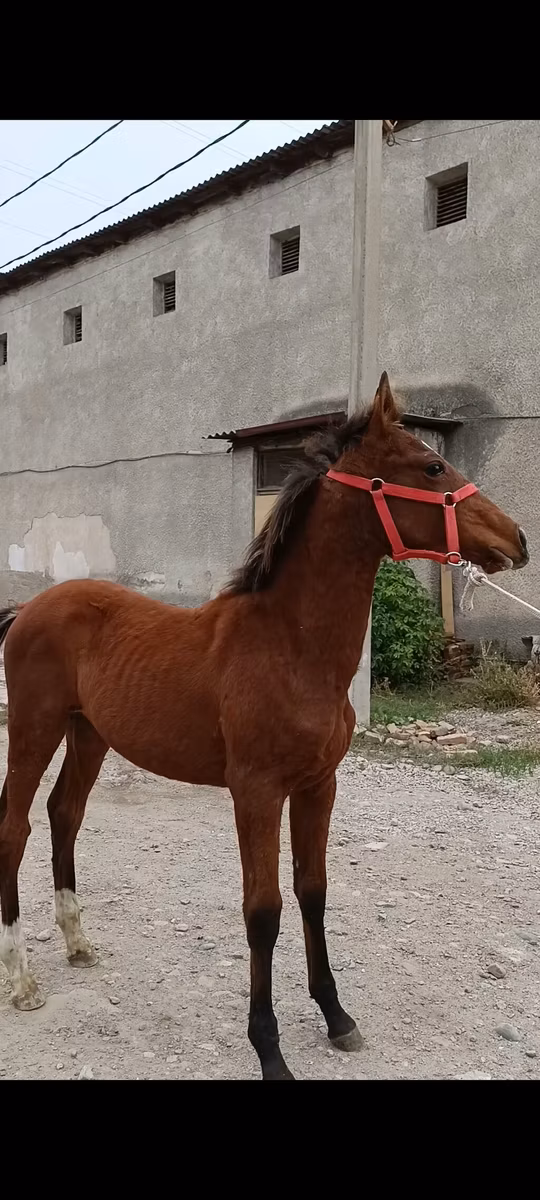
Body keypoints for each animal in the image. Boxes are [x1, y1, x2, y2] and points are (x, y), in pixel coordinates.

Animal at [0, 373, 528, 1080]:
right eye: (432, 467)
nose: (517, 539)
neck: (289, 647)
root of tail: (30, 607)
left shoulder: (318, 786)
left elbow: (313, 892)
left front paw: (337, 1017)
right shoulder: (255, 792)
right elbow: (263, 912)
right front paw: (269, 1046)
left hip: (90, 734)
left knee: (65, 813)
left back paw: (79, 943)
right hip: (35, 728)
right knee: (16, 827)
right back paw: (23, 979)